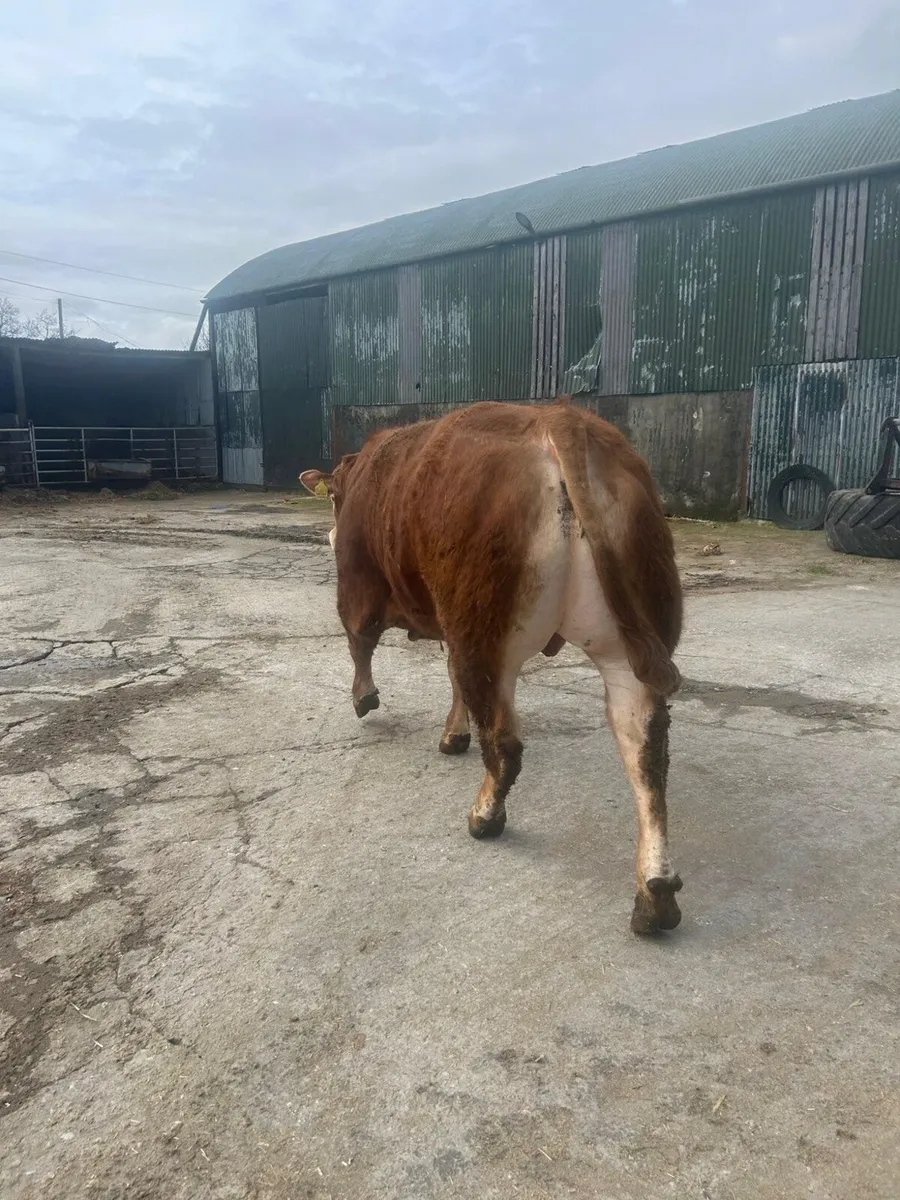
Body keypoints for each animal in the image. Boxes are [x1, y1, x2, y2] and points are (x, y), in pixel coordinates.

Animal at [300, 401, 684, 934]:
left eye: (334, 498)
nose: (330, 531)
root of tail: (558, 417)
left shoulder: (359, 585)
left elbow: (361, 642)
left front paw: (365, 699)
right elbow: (449, 678)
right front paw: (453, 734)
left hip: (484, 634)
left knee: (504, 742)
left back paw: (485, 816)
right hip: (624, 645)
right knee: (647, 751)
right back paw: (656, 893)